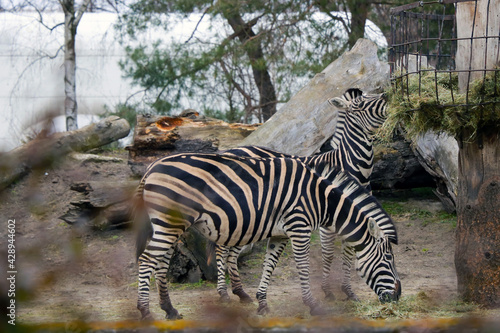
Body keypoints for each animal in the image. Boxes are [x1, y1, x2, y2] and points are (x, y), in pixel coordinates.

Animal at [135, 152, 400, 318]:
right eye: (388, 260)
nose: (397, 297)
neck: (321, 199)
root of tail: (151, 168)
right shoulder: (299, 227)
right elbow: (302, 267)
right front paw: (313, 305)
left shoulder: (280, 234)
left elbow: (269, 266)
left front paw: (262, 303)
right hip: (170, 224)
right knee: (146, 261)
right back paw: (146, 312)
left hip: (170, 226)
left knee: (161, 263)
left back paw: (170, 310)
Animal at [213, 87, 388, 300]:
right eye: (361, 103)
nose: (387, 96)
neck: (356, 170)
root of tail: (231, 150)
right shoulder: (328, 218)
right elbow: (328, 253)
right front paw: (327, 291)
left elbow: (348, 253)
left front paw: (349, 291)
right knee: (222, 248)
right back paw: (223, 292)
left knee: (232, 250)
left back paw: (240, 292)